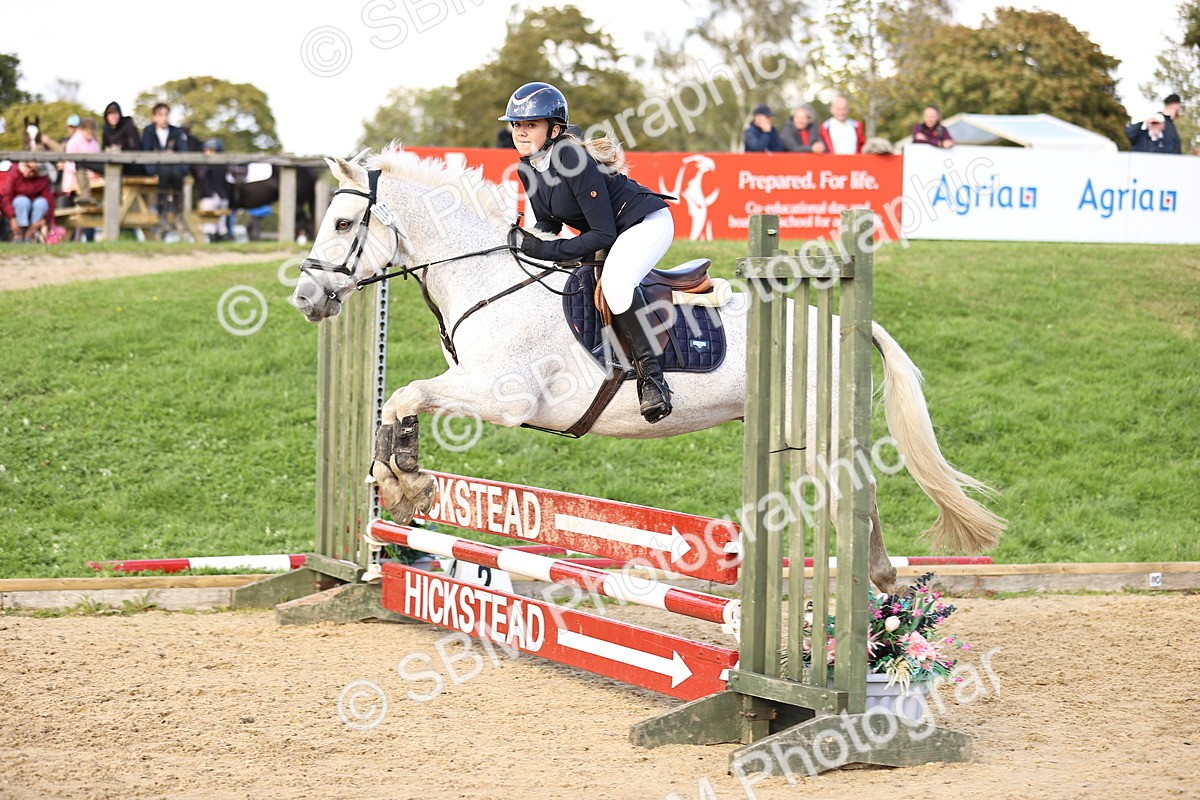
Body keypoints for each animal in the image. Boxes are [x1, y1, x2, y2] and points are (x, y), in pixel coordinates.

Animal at [289, 145, 1006, 593]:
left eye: (345, 222)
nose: (304, 299)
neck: (486, 276)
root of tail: (842, 326)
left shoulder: (503, 398)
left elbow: (405, 396)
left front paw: (403, 483)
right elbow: (398, 404)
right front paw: (400, 483)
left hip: (821, 436)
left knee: (856, 500)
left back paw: (881, 586)